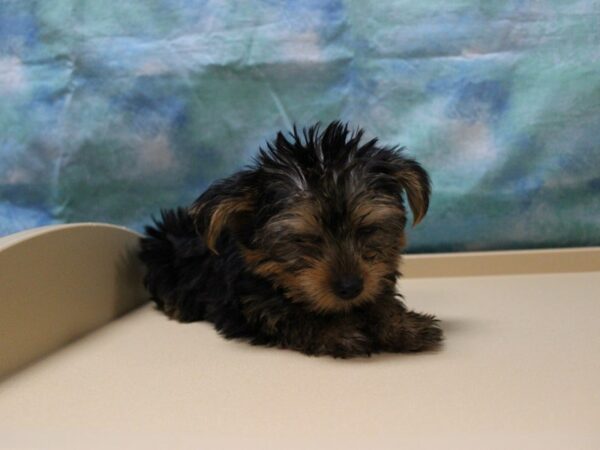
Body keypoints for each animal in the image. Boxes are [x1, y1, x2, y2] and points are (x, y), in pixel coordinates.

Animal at [138, 121, 442, 356]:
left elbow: (379, 297)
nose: (350, 288)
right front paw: (341, 333)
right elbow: (289, 313)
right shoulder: (249, 305)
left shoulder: (375, 277)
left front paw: (402, 326)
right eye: (303, 240)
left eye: (367, 230)